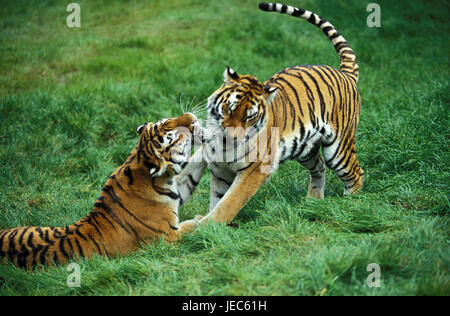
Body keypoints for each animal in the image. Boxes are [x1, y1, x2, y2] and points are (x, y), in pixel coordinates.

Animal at [0, 112, 207, 268]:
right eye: (173, 136)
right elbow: (191, 228)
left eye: (165, 121)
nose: (191, 117)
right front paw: (200, 221)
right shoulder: (169, 239)